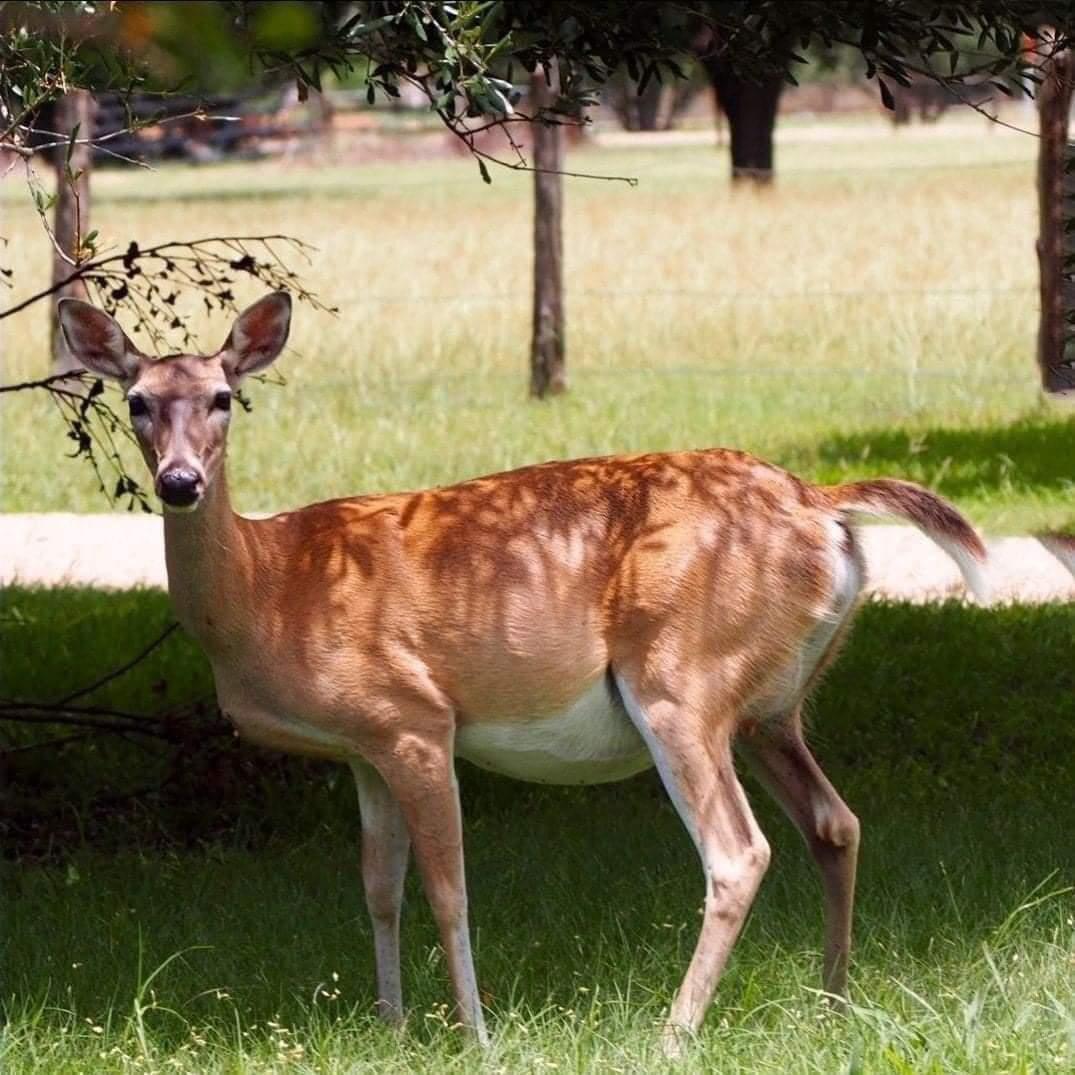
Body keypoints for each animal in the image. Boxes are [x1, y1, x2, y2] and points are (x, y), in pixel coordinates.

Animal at [54, 290, 984, 1053]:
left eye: (222, 397)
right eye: (137, 400)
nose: (179, 481)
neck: (269, 583)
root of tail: (822, 504)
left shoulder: (413, 716)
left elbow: (448, 888)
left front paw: (474, 1035)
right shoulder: (362, 747)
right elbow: (378, 886)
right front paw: (391, 1025)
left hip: (683, 674)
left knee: (738, 850)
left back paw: (673, 1034)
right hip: (770, 705)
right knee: (835, 821)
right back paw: (833, 1005)